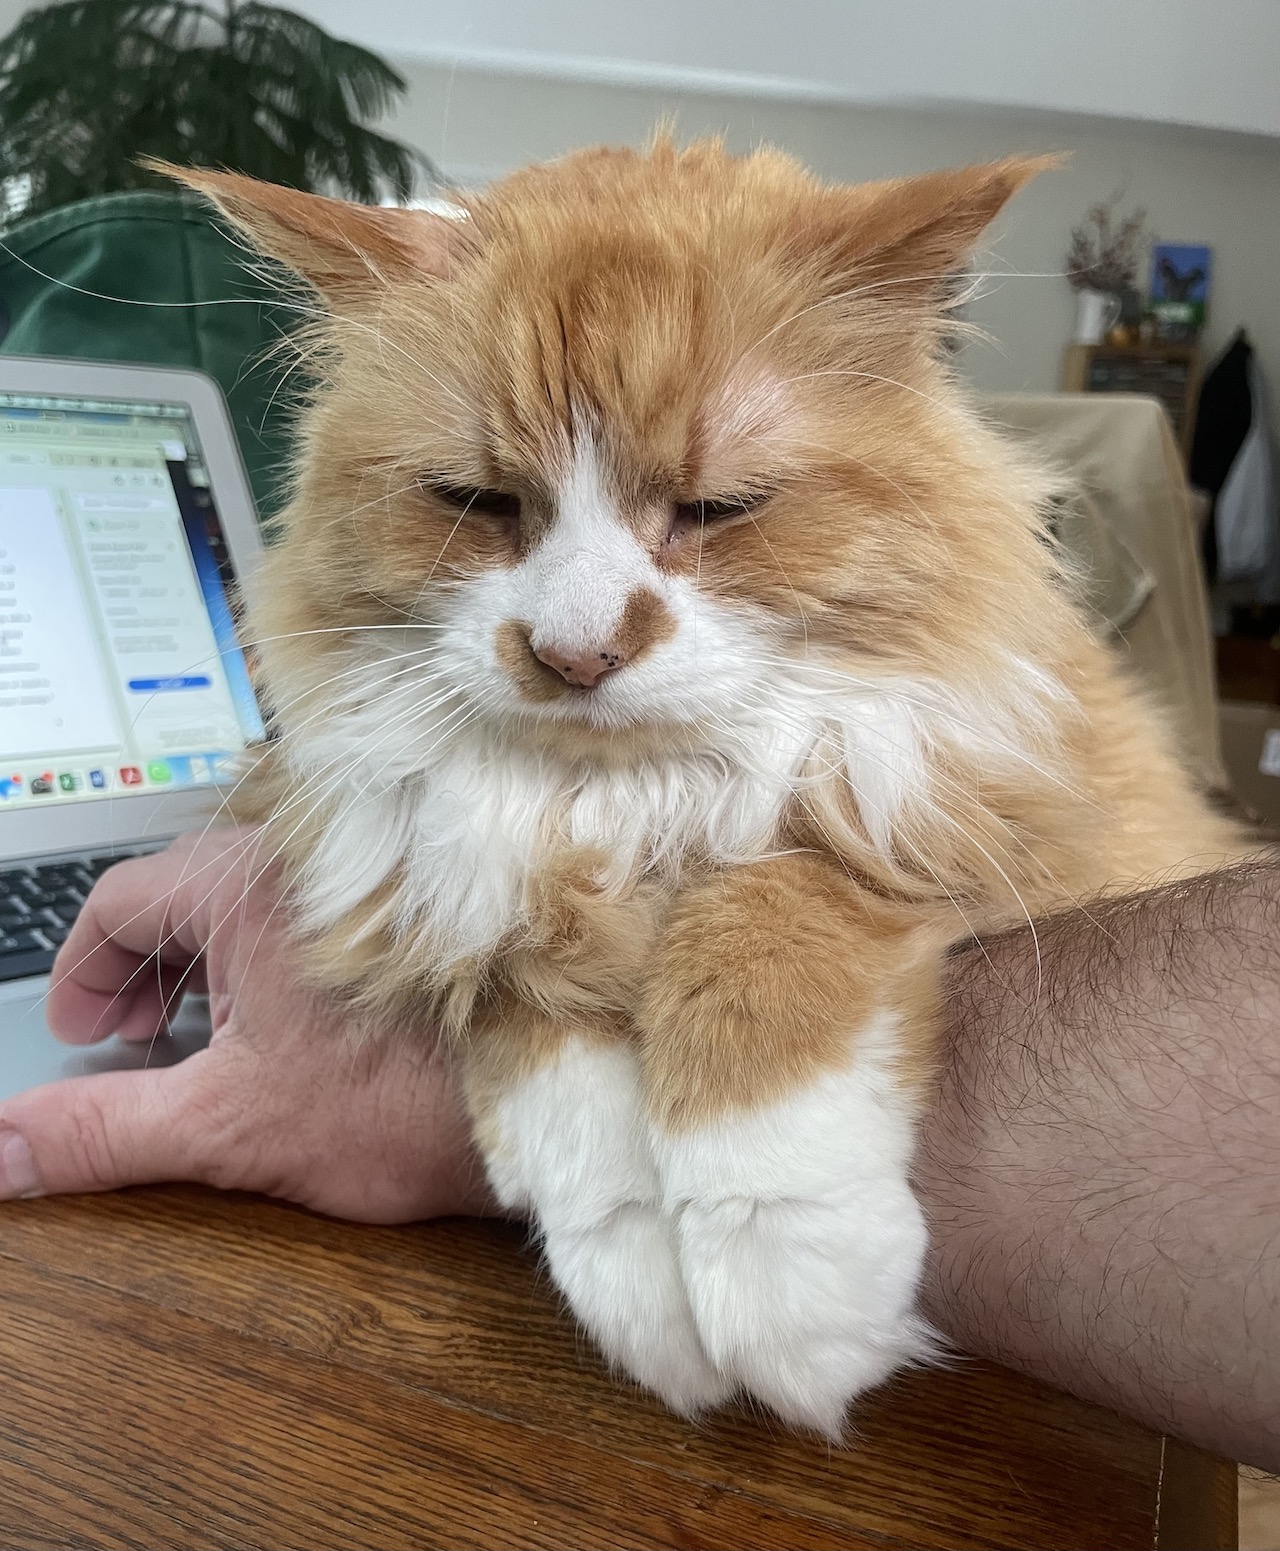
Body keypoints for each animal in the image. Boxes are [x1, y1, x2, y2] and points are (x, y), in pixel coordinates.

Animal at [164, 139, 1241, 1433]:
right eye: (477, 502)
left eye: (717, 509)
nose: (574, 653)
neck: (627, 815)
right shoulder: (459, 880)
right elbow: (548, 1051)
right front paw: (648, 1288)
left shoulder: (925, 805)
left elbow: (760, 930)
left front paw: (786, 1278)